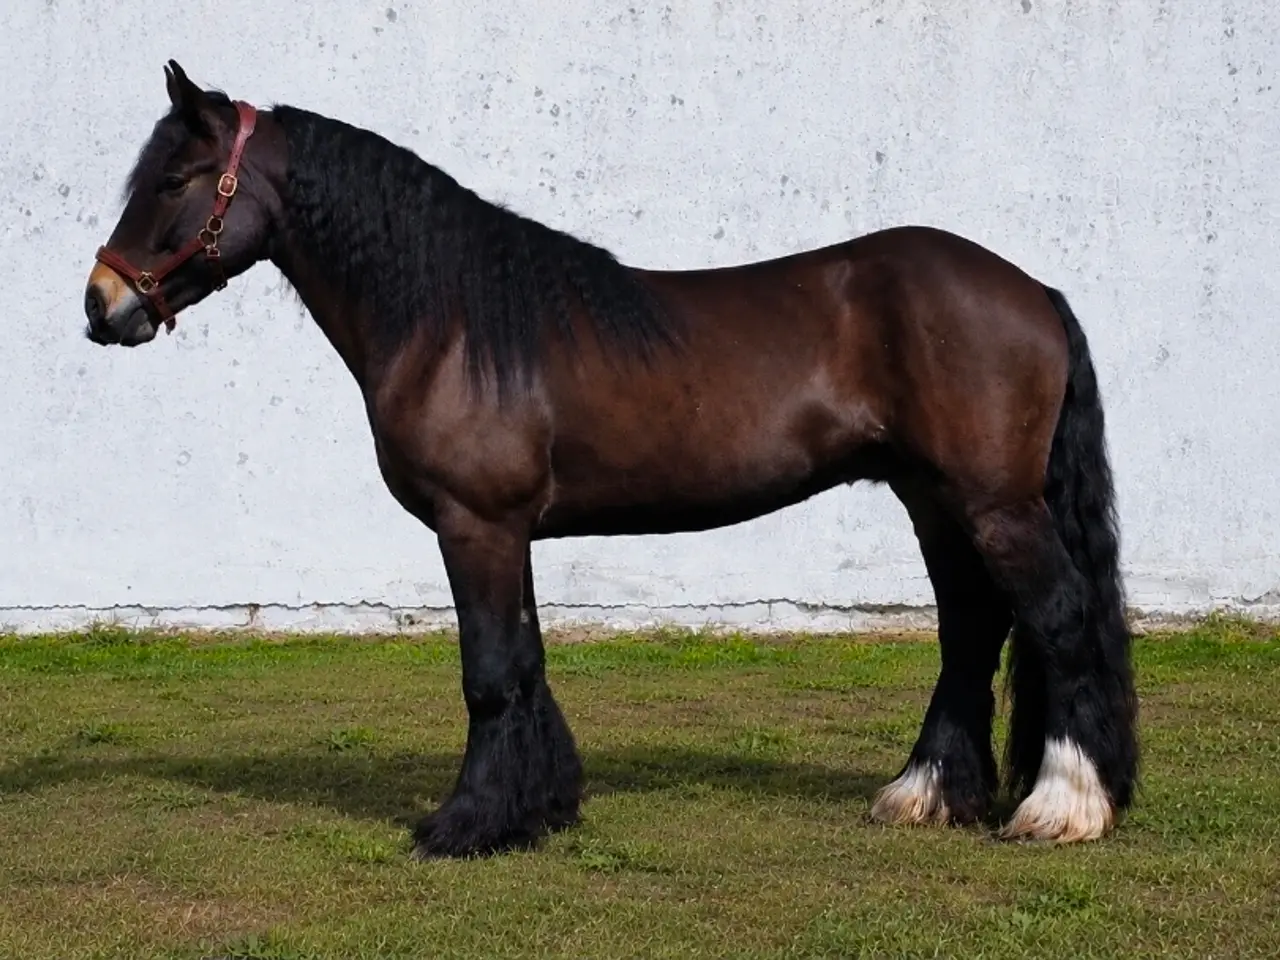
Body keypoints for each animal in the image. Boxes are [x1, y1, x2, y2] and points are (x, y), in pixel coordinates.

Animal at [82, 61, 1138, 859]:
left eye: (175, 179)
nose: (101, 305)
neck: (456, 321)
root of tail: (1033, 290)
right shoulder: (511, 530)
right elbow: (527, 661)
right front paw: (538, 810)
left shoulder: (477, 526)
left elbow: (489, 671)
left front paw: (464, 826)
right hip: (934, 500)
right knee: (970, 628)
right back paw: (924, 794)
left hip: (993, 503)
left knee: (1056, 614)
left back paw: (1064, 807)